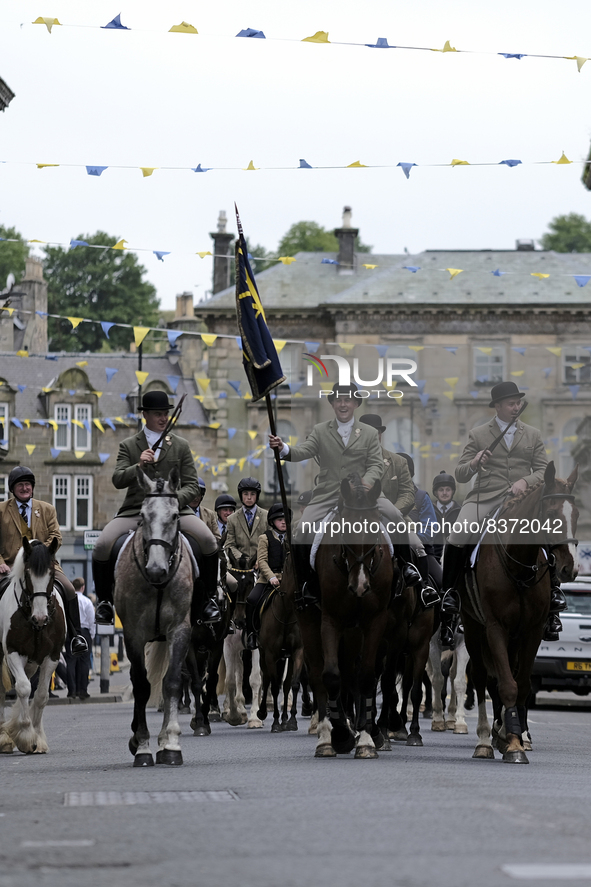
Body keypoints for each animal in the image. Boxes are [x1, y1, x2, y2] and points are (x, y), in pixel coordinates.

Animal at [112, 468, 192, 768]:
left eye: (176, 516)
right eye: (143, 516)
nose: (156, 569)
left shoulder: (180, 630)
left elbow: (172, 682)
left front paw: (170, 743)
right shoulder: (133, 634)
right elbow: (141, 686)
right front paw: (143, 745)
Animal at [462, 464, 580, 764]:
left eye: (576, 514)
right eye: (551, 514)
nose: (570, 568)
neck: (518, 567)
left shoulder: (531, 631)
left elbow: (522, 685)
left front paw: (514, 736)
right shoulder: (494, 628)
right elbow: (506, 685)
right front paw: (512, 742)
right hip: (473, 629)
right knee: (481, 678)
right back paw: (484, 740)